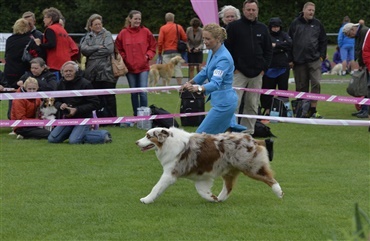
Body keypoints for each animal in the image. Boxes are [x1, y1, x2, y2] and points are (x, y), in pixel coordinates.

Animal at [136, 127, 284, 204]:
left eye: (149, 136)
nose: (136, 142)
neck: (168, 142)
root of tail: (252, 139)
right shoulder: (201, 176)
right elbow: (202, 191)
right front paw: (212, 198)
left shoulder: (169, 174)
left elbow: (156, 187)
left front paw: (146, 199)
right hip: (229, 170)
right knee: (228, 187)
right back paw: (220, 198)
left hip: (250, 166)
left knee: (269, 178)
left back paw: (279, 192)